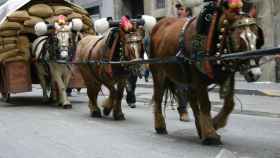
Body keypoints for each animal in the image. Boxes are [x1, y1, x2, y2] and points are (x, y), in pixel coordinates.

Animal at [150, 11, 264, 144]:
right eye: (238, 41)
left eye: (256, 39)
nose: (254, 73)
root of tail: (158, 25)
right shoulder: (199, 80)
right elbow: (205, 105)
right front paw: (210, 134)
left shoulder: (227, 77)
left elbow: (229, 104)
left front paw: (214, 124)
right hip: (159, 73)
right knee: (158, 98)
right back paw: (160, 126)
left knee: (192, 101)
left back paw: (200, 127)